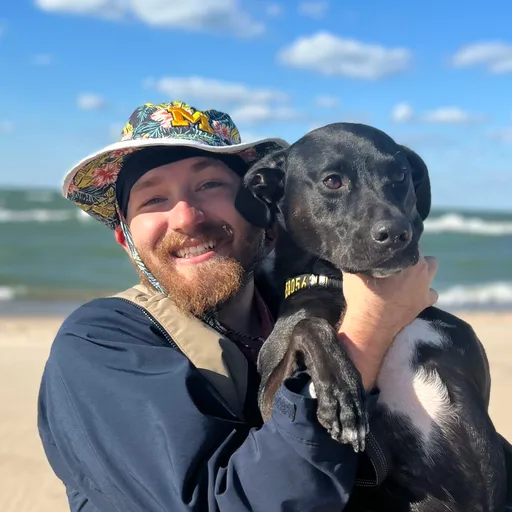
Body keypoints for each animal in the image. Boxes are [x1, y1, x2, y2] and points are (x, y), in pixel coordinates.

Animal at [236, 122, 508, 510]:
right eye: (333, 181)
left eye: (400, 176)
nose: (396, 234)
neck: (340, 284)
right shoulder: (269, 400)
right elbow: (308, 324)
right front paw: (341, 393)